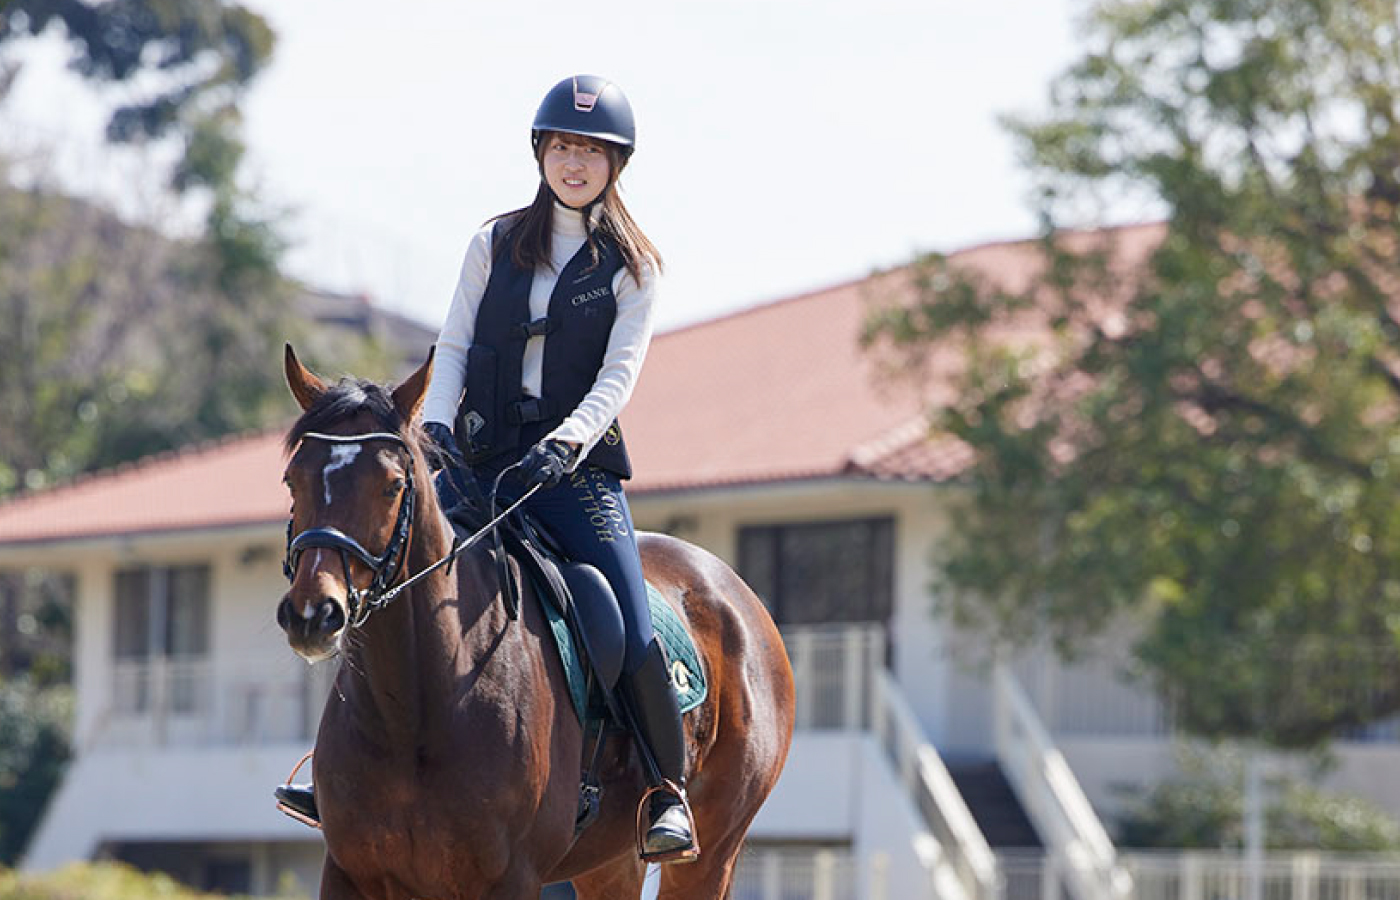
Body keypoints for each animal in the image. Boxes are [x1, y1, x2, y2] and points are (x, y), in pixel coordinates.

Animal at [275, 347, 800, 900]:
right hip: (608, 863)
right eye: (293, 479)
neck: (414, 708)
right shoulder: (347, 872)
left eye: (393, 485)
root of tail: (738, 594)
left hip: (710, 854)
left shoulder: (512, 877)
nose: (313, 613)